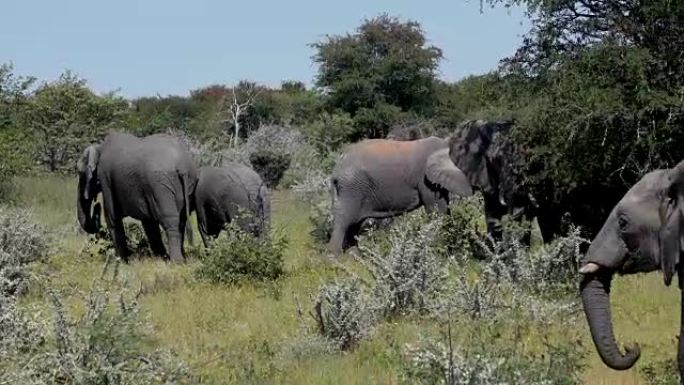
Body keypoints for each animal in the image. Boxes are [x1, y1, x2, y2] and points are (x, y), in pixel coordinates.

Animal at [80, 132, 199, 260]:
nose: (96, 204)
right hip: (186, 182)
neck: (99, 147)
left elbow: (112, 218)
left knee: (170, 221)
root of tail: (182, 167)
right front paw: (161, 258)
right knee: (181, 221)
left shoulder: (105, 178)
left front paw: (122, 261)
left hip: (161, 186)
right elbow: (149, 222)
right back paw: (181, 259)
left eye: (80, 173)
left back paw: (176, 261)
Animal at [326, 136, 470, 256]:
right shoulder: (426, 180)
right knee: (345, 219)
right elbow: (437, 210)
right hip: (352, 187)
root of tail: (337, 168)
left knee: (354, 223)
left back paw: (353, 255)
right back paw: (334, 256)